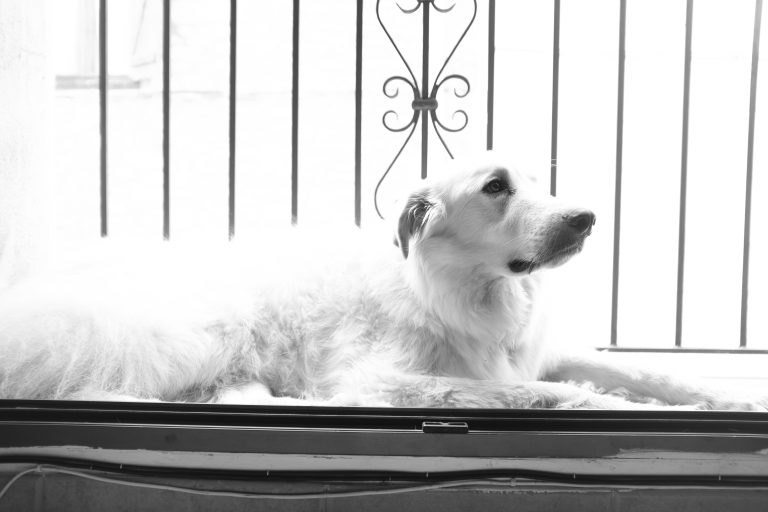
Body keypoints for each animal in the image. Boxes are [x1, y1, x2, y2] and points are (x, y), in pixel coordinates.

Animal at [0, 154, 764, 410]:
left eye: (540, 181)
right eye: (496, 187)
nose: (585, 218)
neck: (460, 290)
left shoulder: (538, 348)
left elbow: (653, 373)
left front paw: (727, 398)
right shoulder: (379, 380)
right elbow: (515, 392)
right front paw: (593, 402)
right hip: (193, 333)